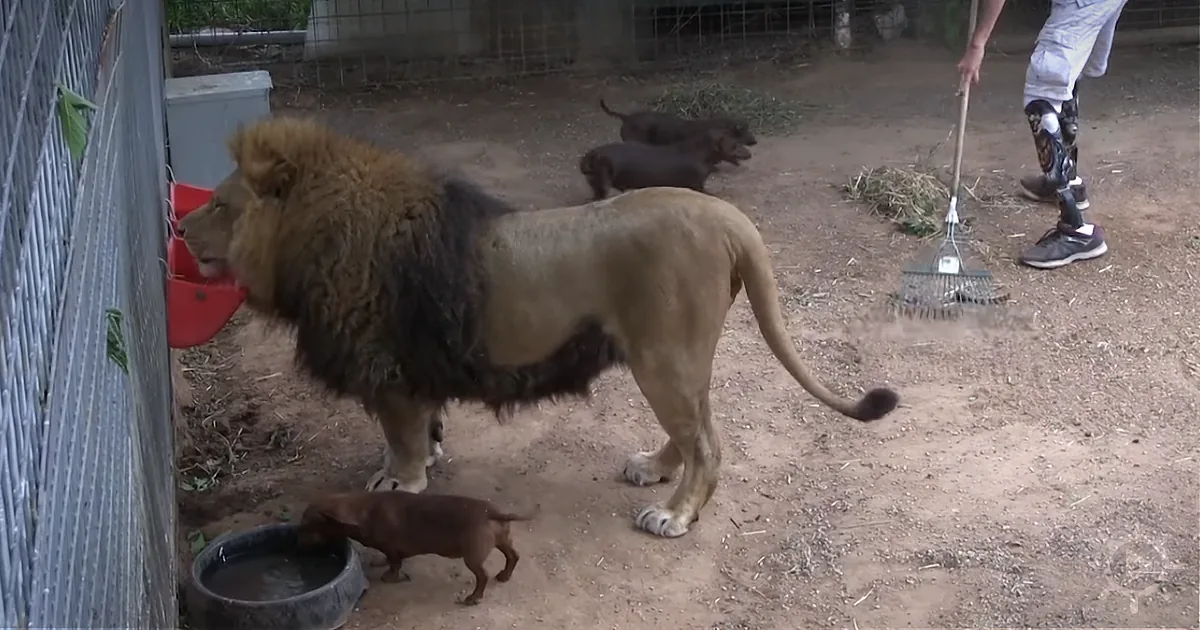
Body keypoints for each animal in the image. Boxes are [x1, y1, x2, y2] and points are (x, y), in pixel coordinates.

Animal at [176, 116, 900, 539]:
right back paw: (653, 469)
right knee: (697, 428)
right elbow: (417, 430)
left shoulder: (391, 371)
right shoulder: (414, 370)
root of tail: (726, 216)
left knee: (708, 444)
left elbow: (400, 437)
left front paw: (400, 481)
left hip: (663, 356)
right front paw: (417, 462)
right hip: (676, 357)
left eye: (220, 205)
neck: (312, 238)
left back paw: (674, 513)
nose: (180, 227)